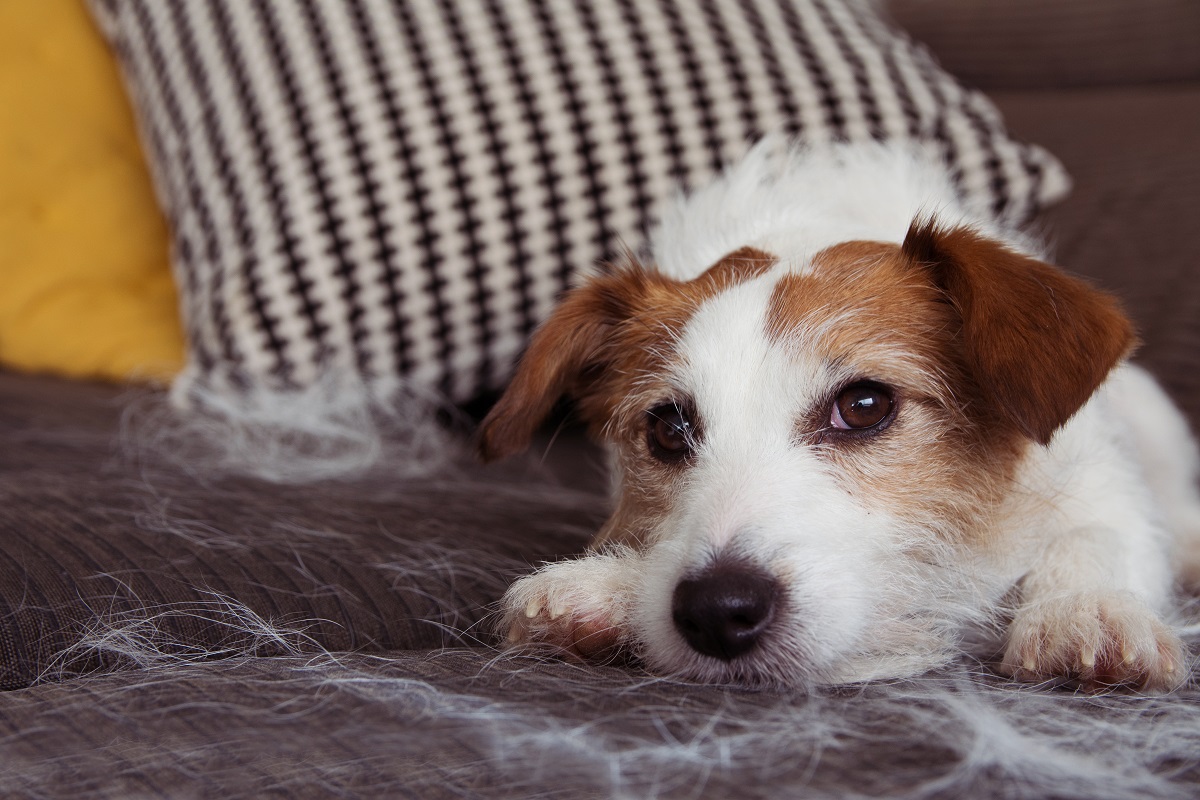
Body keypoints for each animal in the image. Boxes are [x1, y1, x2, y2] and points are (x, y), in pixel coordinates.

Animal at [472, 140, 1195, 690]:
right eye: (668, 428)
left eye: (864, 405)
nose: (716, 610)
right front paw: (607, 589)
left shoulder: (1096, 475)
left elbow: (1098, 534)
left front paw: (1086, 611)